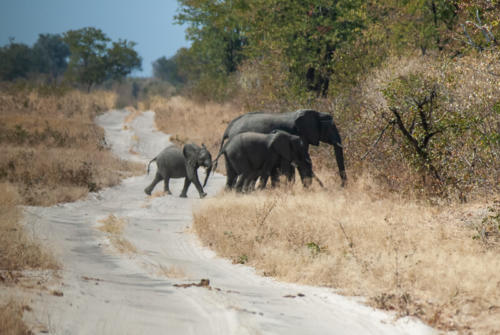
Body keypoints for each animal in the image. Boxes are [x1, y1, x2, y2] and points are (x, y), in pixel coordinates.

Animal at [213, 109, 346, 186]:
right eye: (330, 127)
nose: (341, 187)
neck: (316, 113)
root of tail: (229, 128)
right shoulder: (300, 135)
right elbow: (300, 163)